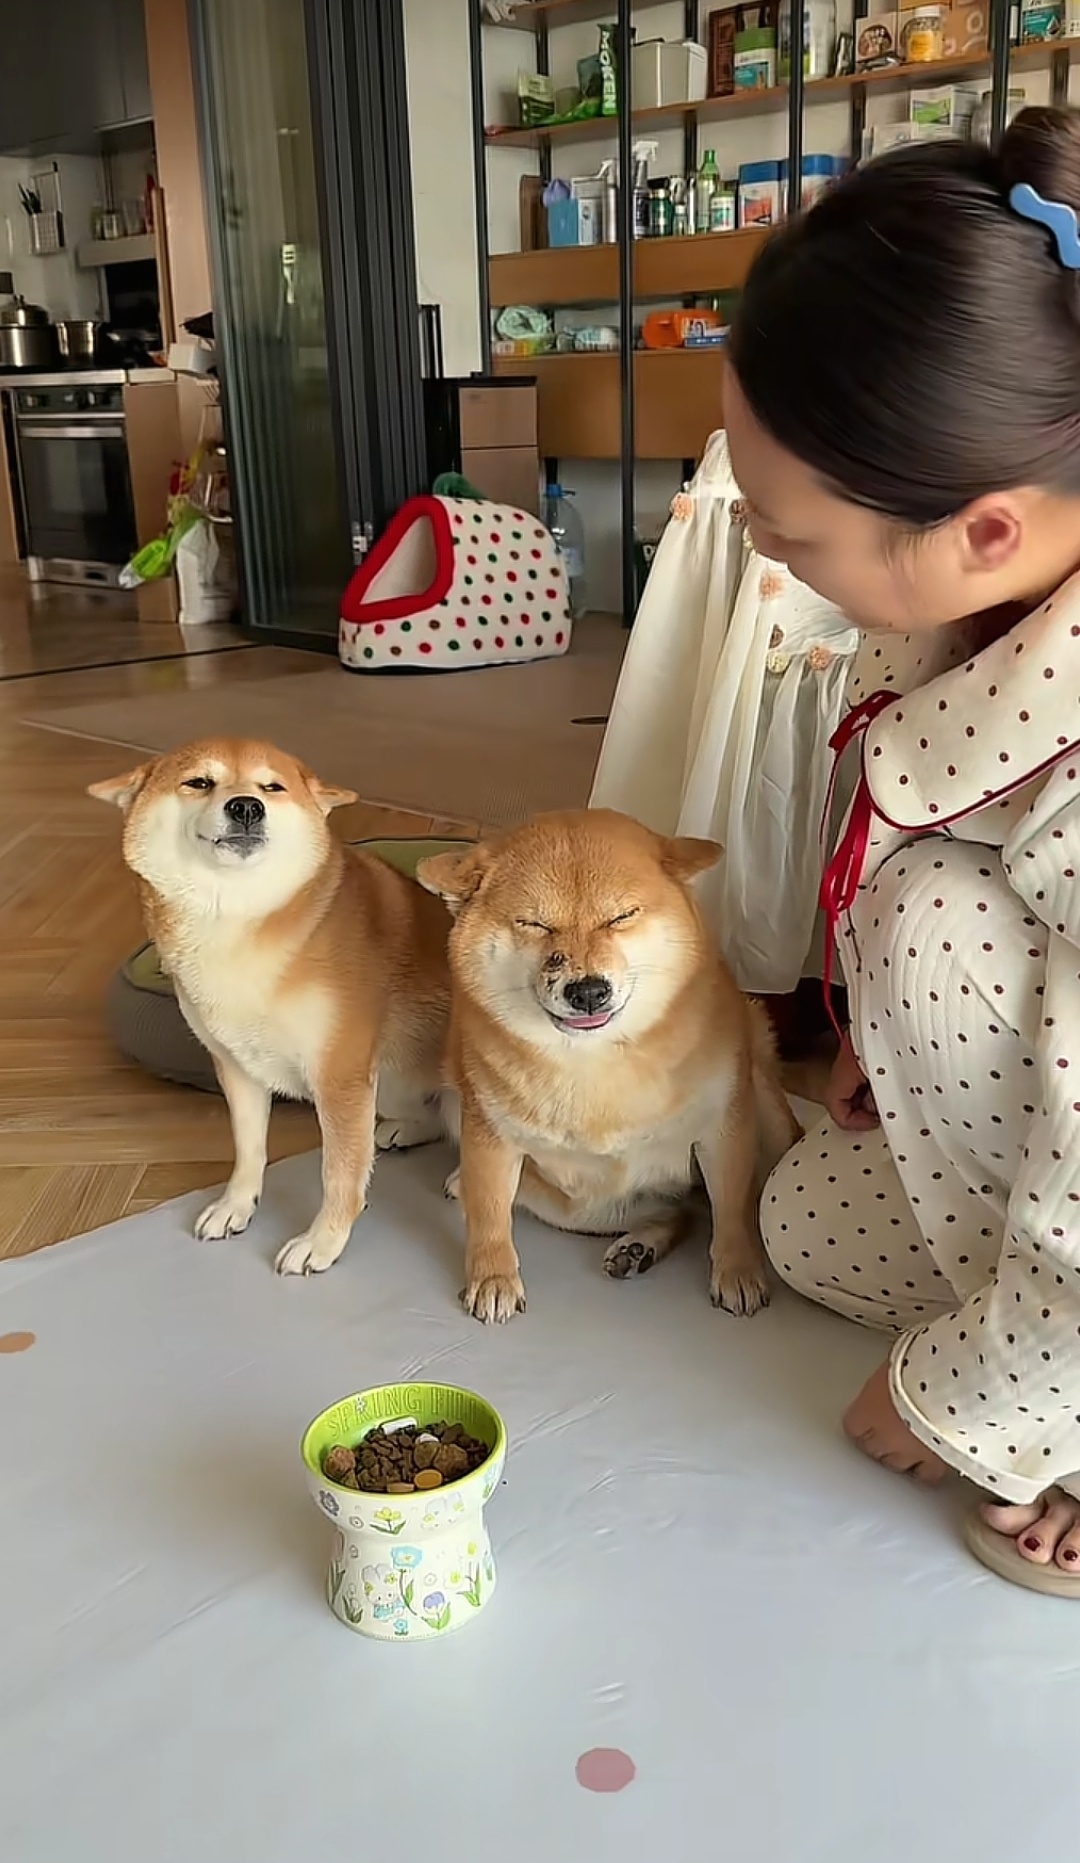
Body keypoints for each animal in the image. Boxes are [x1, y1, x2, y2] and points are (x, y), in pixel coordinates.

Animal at [90, 738, 451, 1275]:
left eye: (271, 787)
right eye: (199, 782)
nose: (245, 806)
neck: (238, 923)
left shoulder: (339, 1077)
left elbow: (339, 1174)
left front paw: (322, 1242)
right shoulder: (238, 1067)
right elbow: (249, 1150)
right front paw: (235, 1206)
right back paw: (405, 1130)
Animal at [417, 809, 800, 1324]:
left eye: (621, 917)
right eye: (534, 924)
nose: (587, 991)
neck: (596, 1065)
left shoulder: (724, 1131)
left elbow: (734, 1208)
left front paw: (738, 1269)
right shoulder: (488, 1136)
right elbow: (490, 1216)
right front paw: (493, 1277)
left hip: (765, 1098)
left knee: (713, 1204)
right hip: (567, 1199)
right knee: (681, 1212)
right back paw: (637, 1246)